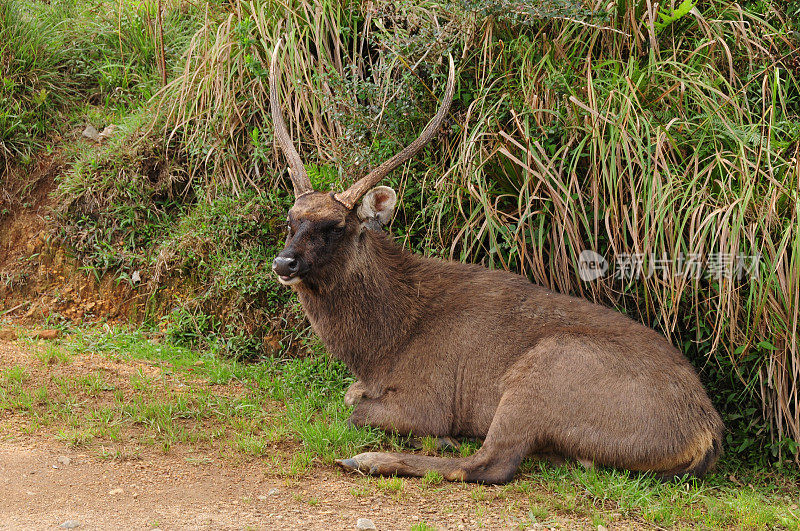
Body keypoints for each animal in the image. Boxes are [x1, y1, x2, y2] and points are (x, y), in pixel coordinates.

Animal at [268, 39, 724, 484]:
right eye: (290, 221)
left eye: (336, 227)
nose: (283, 264)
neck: (382, 348)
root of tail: (705, 434)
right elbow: (350, 395)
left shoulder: (426, 399)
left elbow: (356, 411)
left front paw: (436, 436)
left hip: (545, 371)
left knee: (490, 463)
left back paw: (369, 459)